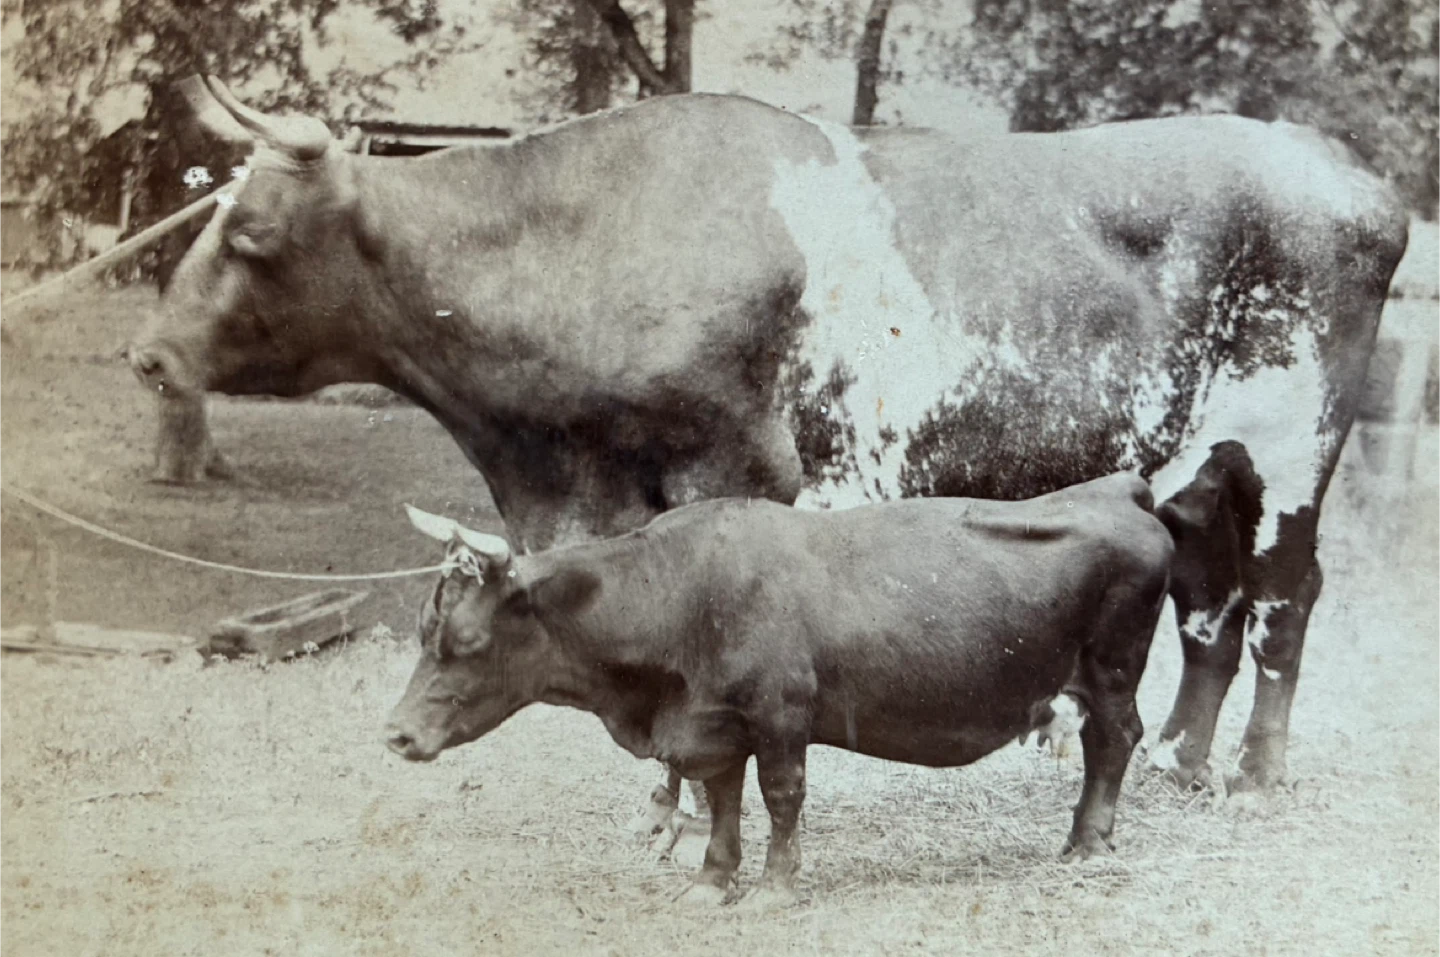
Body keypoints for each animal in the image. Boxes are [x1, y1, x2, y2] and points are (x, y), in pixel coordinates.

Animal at [126, 76, 1408, 839]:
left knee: (1281, 603)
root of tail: (1345, 172)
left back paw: (1251, 771)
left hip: (1293, 456)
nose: (148, 354)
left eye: (250, 236)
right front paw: (663, 813)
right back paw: (1185, 758)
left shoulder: (730, 471)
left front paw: (693, 813)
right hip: (1197, 471)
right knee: (1211, 608)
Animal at [385, 473, 1174, 905]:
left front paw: (774, 887)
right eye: (424, 630)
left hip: (1113, 665)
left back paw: (1088, 841)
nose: (395, 733)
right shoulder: (714, 725)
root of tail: (1115, 489)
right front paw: (711, 880)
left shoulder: (781, 715)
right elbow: (723, 800)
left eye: (467, 643)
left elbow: (781, 797)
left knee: (1116, 740)